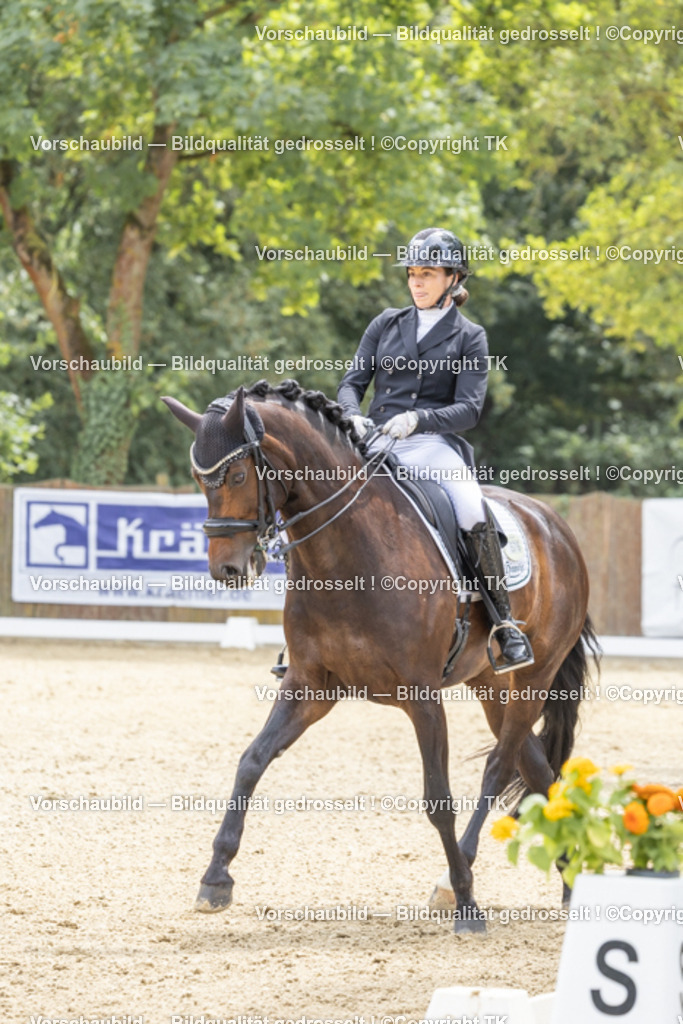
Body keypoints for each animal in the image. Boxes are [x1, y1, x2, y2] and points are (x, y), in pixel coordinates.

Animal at [163, 378, 598, 934]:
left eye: (238, 473)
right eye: (201, 479)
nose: (228, 570)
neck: (346, 551)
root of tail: (554, 525)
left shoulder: (423, 696)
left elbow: (439, 799)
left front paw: (468, 905)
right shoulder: (309, 685)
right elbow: (251, 762)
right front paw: (216, 877)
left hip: (535, 676)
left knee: (499, 768)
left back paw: (456, 883)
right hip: (490, 683)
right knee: (540, 773)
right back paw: (569, 883)